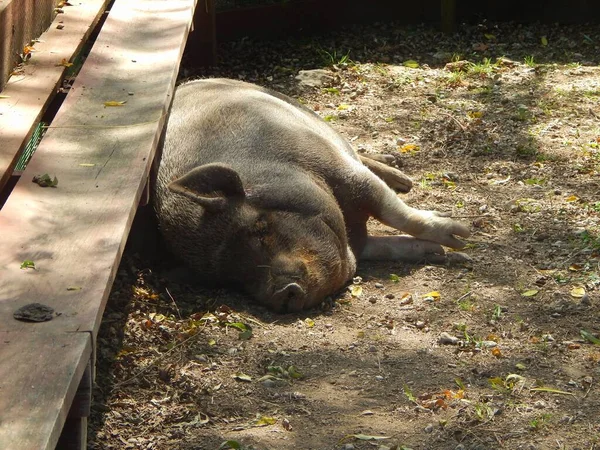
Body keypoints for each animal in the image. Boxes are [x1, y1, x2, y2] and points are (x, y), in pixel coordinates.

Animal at [152, 79, 472, 312]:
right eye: (228, 279)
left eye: (260, 227)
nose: (281, 294)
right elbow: (386, 246)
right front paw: (442, 254)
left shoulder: (341, 168)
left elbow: (397, 213)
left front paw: (463, 239)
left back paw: (401, 176)